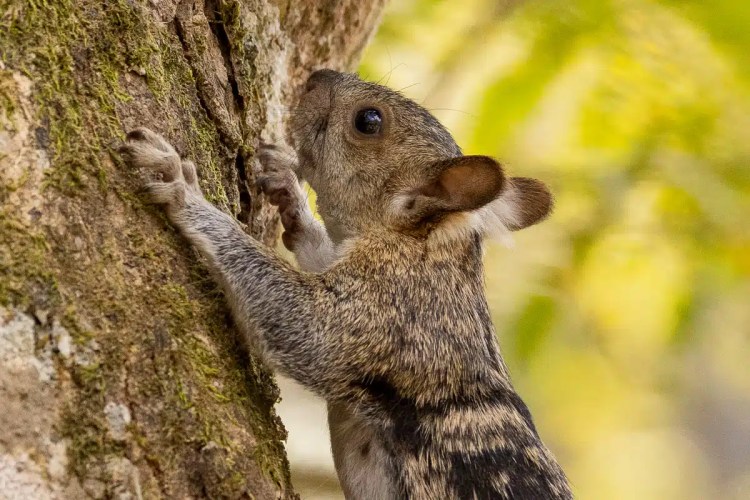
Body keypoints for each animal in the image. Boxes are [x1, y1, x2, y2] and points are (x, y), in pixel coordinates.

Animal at [120, 69, 572, 499]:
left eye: (369, 121)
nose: (317, 76)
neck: (423, 244)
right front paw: (289, 191)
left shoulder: (393, 307)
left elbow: (307, 326)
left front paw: (181, 187)